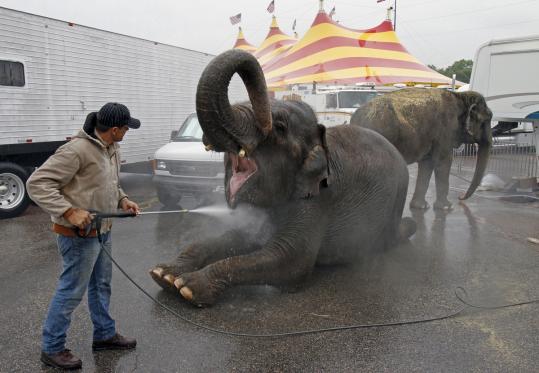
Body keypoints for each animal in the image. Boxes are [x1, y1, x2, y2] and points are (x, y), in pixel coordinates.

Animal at [150, 49, 416, 306]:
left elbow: (289, 259)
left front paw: (189, 286)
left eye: (279, 128)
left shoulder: (320, 199)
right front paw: (165, 275)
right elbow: (239, 236)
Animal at [350, 88, 494, 209]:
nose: (460, 197)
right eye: (486, 120)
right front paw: (447, 207)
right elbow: (443, 162)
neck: (460, 96)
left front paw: (421, 207)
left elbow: (427, 164)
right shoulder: (445, 131)